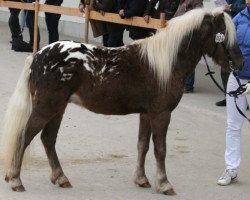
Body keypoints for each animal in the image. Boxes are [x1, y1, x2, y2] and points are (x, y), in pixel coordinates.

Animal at [0, 7, 243, 194]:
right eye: (224, 34)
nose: (240, 63)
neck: (165, 63)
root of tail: (38, 55)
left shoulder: (146, 114)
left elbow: (143, 146)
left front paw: (142, 179)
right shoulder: (161, 115)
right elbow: (160, 149)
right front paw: (164, 184)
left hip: (57, 109)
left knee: (48, 140)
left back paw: (60, 178)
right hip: (46, 108)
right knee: (25, 136)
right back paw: (16, 179)